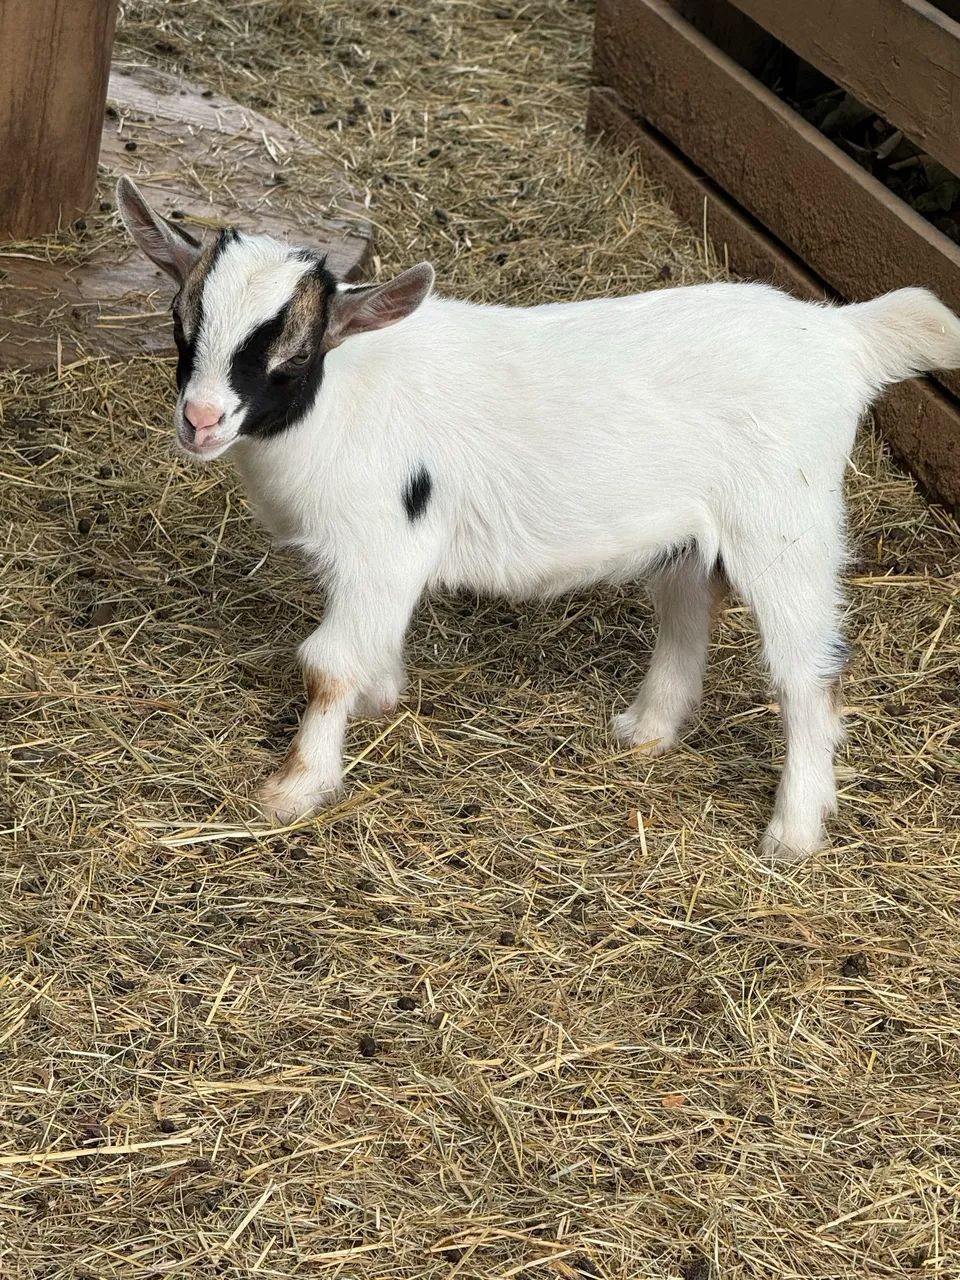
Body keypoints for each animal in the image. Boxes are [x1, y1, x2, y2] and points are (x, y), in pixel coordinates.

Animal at [117, 176, 960, 857]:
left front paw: (295, 787)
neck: (341, 398)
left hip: (786, 525)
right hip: (695, 533)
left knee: (806, 669)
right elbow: (367, 650)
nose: (200, 420)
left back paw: (793, 829)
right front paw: (383, 696)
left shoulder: (383, 548)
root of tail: (844, 338)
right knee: (688, 611)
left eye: (293, 354)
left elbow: (329, 664)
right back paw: (647, 731)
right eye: (181, 324)